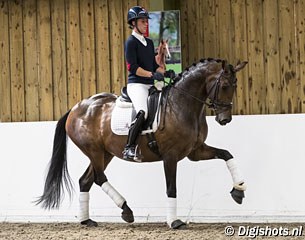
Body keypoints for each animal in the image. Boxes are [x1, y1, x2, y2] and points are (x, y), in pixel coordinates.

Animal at [36, 57, 247, 229]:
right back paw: (126, 210)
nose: (225, 119)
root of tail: (76, 108)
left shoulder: (195, 152)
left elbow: (227, 154)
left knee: (85, 180)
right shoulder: (170, 157)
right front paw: (174, 222)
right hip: (94, 151)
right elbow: (172, 188)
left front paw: (238, 191)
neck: (182, 104)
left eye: (236, 85)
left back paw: (86, 220)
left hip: (105, 153)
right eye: (225, 86)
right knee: (99, 178)